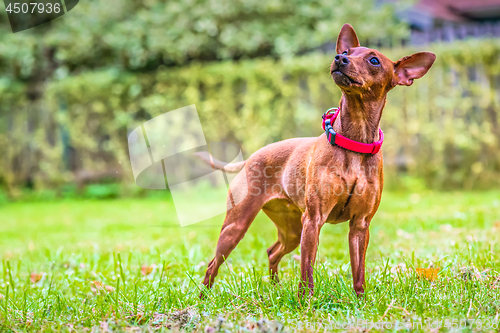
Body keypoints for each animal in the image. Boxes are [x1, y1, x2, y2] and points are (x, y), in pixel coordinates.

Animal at [195, 24, 434, 296]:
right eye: (346, 52)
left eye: (374, 60)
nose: (339, 58)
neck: (354, 141)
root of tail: (252, 157)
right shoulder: (313, 220)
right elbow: (307, 270)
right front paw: (305, 301)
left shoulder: (360, 226)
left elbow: (358, 272)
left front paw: (361, 300)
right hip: (237, 226)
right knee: (213, 264)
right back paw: (204, 298)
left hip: (290, 230)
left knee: (272, 251)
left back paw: (275, 287)